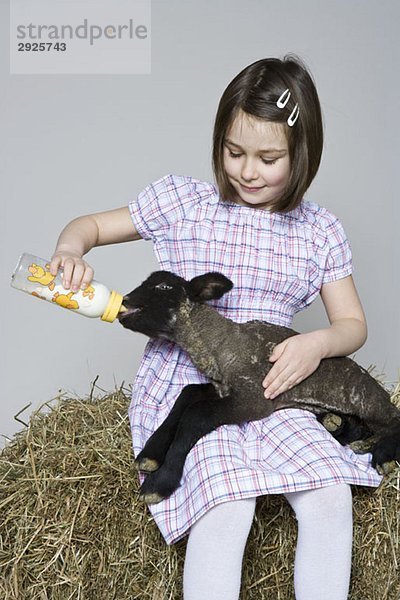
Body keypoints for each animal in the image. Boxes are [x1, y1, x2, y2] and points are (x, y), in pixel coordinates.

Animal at [117, 270, 398, 502]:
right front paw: (149, 455)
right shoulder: (220, 387)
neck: (218, 345)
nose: (125, 302)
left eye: (164, 286)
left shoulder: (254, 398)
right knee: (357, 428)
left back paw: (383, 455)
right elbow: (186, 395)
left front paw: (159, 483)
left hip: (367, 400)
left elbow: (196, 414)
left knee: (393, 419)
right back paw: (343, 430)